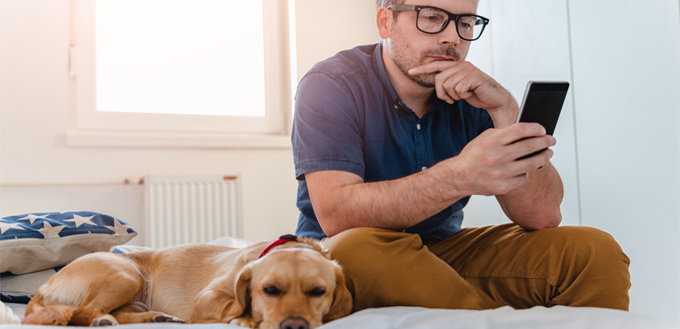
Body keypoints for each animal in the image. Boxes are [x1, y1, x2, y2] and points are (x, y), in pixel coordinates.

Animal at [22, 234, 350, 326]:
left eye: (318, 291)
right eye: (269, 290)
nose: (294, 325)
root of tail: (42, 287)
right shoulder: (207, 298)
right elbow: (233, 307)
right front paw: (245, 318)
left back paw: (158, 318)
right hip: (126, 275)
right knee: (83, 312)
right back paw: (101, 321)